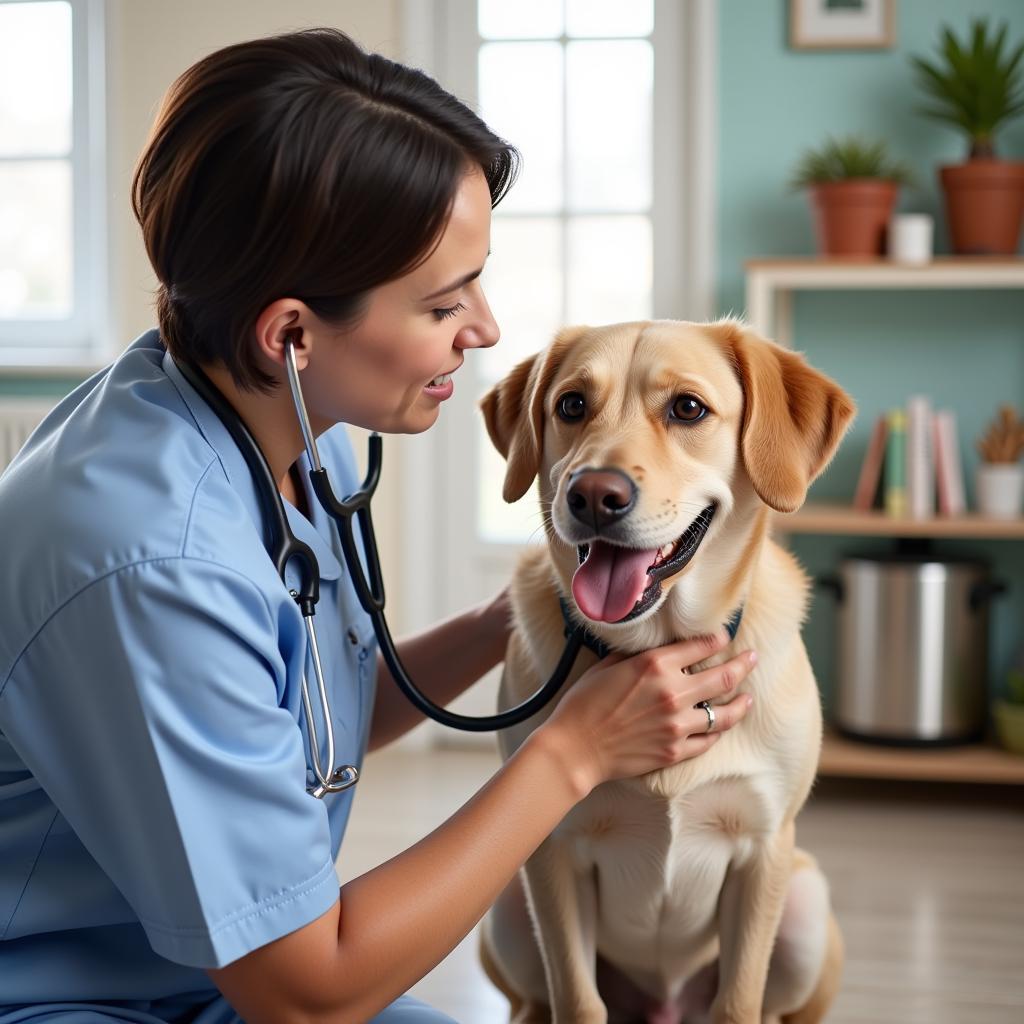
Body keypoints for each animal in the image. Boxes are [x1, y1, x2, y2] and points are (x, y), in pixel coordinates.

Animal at [479, 319, 856, 1024]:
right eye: (571, 405)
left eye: (687, 408)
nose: (593, 495)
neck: (655, 647)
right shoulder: (552, 851)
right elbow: (577, 1000)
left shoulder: (763, 847)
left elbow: (739, 1002)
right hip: (508, 905)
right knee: (531, 999)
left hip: (805, 904)